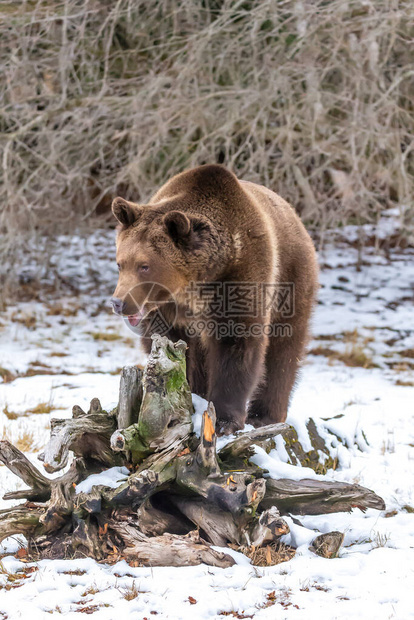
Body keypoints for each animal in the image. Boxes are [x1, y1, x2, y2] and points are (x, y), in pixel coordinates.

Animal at [110, 165, 316, 436]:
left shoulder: (241, 275)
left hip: (291, 279)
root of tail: (295, 216)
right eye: (120, 263)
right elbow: (171, 346)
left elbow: (237, 345)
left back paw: (266, 415)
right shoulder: (169, 311)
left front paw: (224, 420)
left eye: (144, 266)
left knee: (285, 347)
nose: (118, 302)